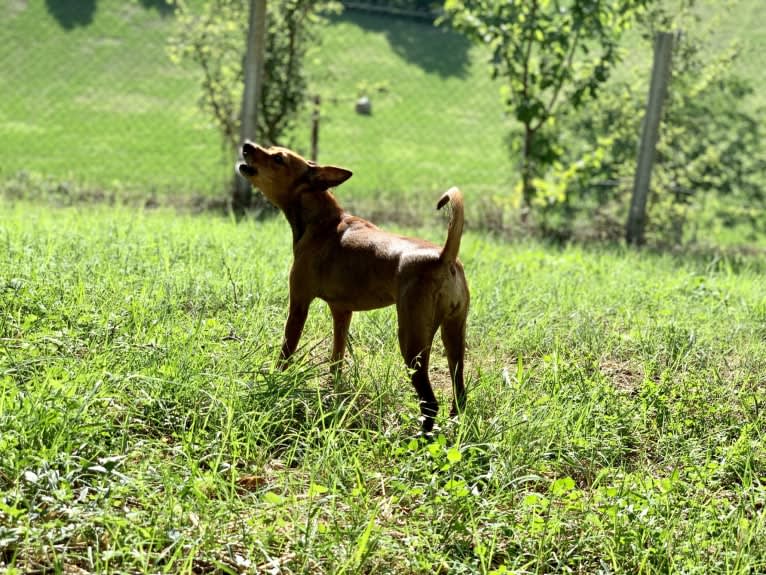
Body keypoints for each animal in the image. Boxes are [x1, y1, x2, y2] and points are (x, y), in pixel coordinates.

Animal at [237, 143, 472, 432]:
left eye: (278, 158)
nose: (247, 145)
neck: (324, 223)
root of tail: (444, 257)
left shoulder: (299, 304)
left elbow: (286, 352)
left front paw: (276, 383)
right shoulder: (341, 313)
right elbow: (336, 361)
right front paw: (333, 395)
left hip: (412, 342)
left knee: (430, 402)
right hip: (454, 335)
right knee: (459, 392)